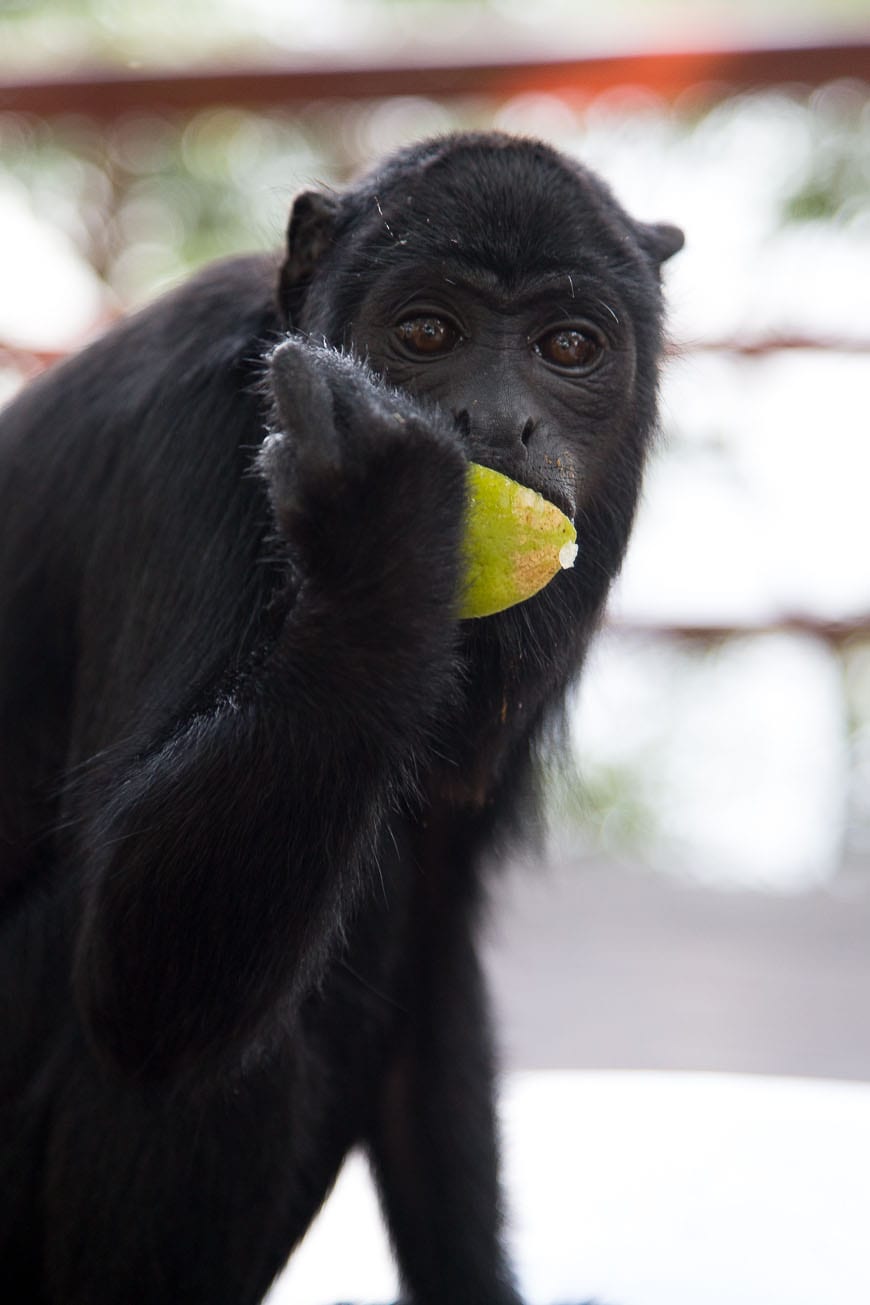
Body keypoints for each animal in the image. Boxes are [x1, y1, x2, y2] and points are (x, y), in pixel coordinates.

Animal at [0, 135, 678, 1305]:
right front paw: (385, 521)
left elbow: (431, 958)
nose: (498, 421)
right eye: (427, 333)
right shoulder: (187, 443)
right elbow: (135, 963)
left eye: (570, 346)